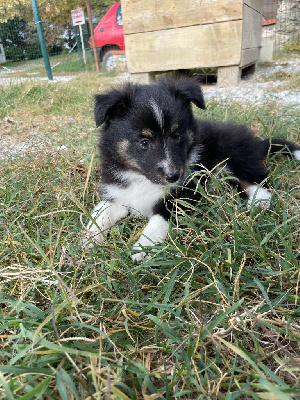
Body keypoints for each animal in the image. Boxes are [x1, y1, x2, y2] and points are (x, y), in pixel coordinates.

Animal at [84, 76, 300, 260]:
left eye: (177, 136)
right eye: (144, 142)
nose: (173, 176)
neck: (142, 178)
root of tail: (257, 142)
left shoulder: (183, 195)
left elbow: (159, 220)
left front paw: (142, 249)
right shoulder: (116, 194)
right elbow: (99, 214)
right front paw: (87, 241)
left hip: (234, 153)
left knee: (258, 178)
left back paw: (259, 202)